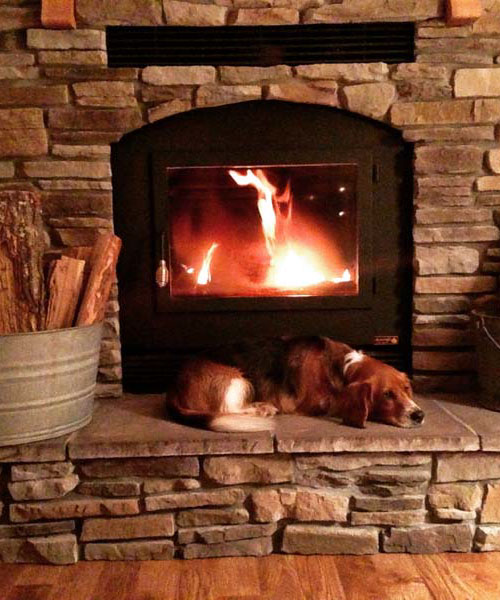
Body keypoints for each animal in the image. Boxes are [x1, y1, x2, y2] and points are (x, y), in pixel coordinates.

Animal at [166, 338, 424, 432]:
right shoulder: (315, 403)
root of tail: (174, 385)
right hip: (236, 379)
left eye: (406, 389)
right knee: (226, 410)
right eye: (387, 395)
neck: (342, 367)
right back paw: (262, 408)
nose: (419, 415)